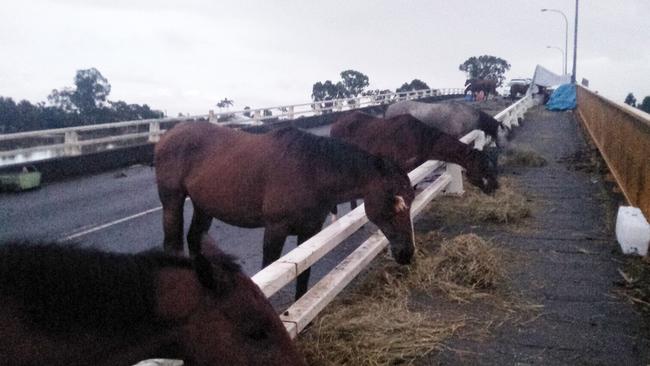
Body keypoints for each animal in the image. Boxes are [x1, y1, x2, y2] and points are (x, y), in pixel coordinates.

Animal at [154, 121, 412, 298]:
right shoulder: (275, 230)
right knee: (173, 244)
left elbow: (304, 274)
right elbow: (268, 270)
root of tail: (168, 136)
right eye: (396, 202)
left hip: (204, 206)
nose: (407, 254)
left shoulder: (309, 231)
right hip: (172, 201)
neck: (311, 170)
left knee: (194, 238)